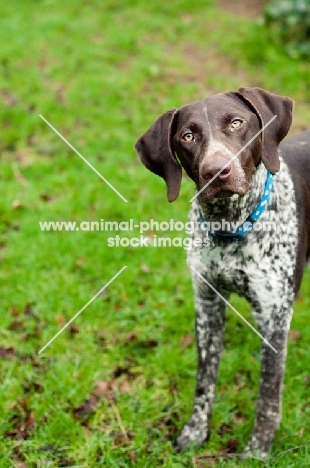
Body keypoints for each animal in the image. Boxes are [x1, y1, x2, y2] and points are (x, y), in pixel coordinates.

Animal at [135, 88, 310, 458]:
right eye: (187, 136)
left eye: (236, 123)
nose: (217, 172)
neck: (230, 225)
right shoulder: (207, 306)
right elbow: (205, 379)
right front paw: (195, 432)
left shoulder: (274, 318)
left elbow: (268, 393)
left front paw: (258, 449)